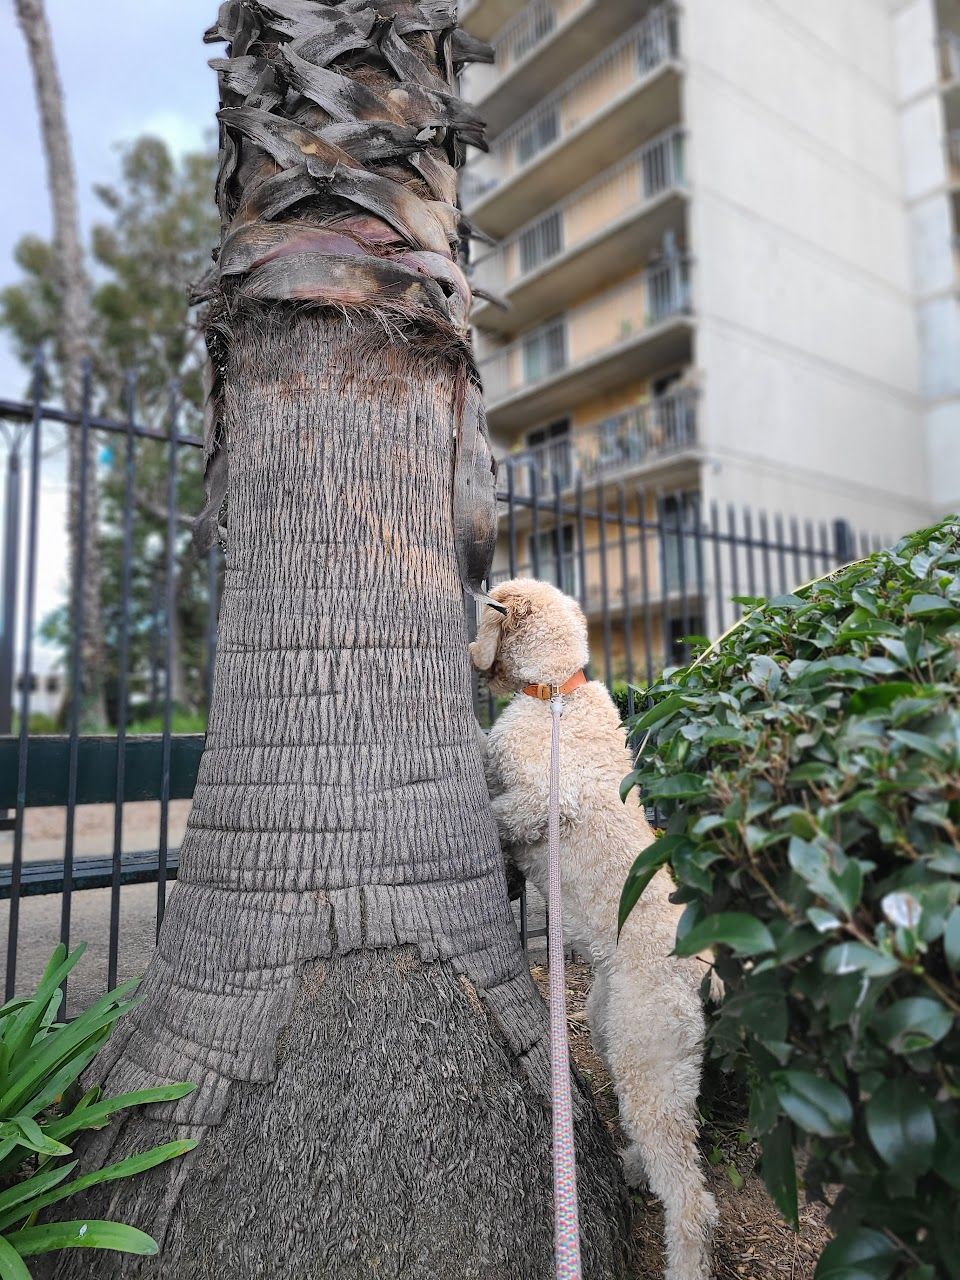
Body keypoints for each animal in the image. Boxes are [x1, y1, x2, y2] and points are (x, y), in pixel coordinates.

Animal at [471, 581, 716, 1280]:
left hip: (644, 1052)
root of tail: (700, 970)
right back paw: (632, 1165)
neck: (557, 692)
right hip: (623, 1032)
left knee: (692, 1197)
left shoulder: (535, 799)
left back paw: (684, 1258)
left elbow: (502, 802)